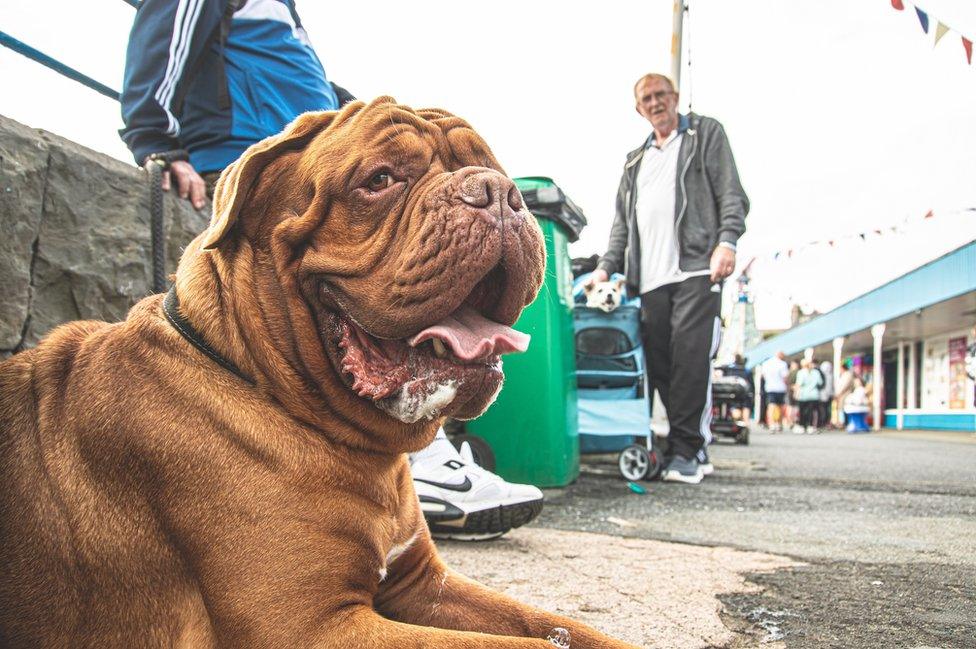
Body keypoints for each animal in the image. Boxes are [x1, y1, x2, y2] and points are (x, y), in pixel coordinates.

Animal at [0, 97, 640, 648]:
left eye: (494, 170)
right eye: (379, 180)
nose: (500, 192)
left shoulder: (424, 585)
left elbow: (555, 627)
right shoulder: (311, 625)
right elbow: (521, 645)